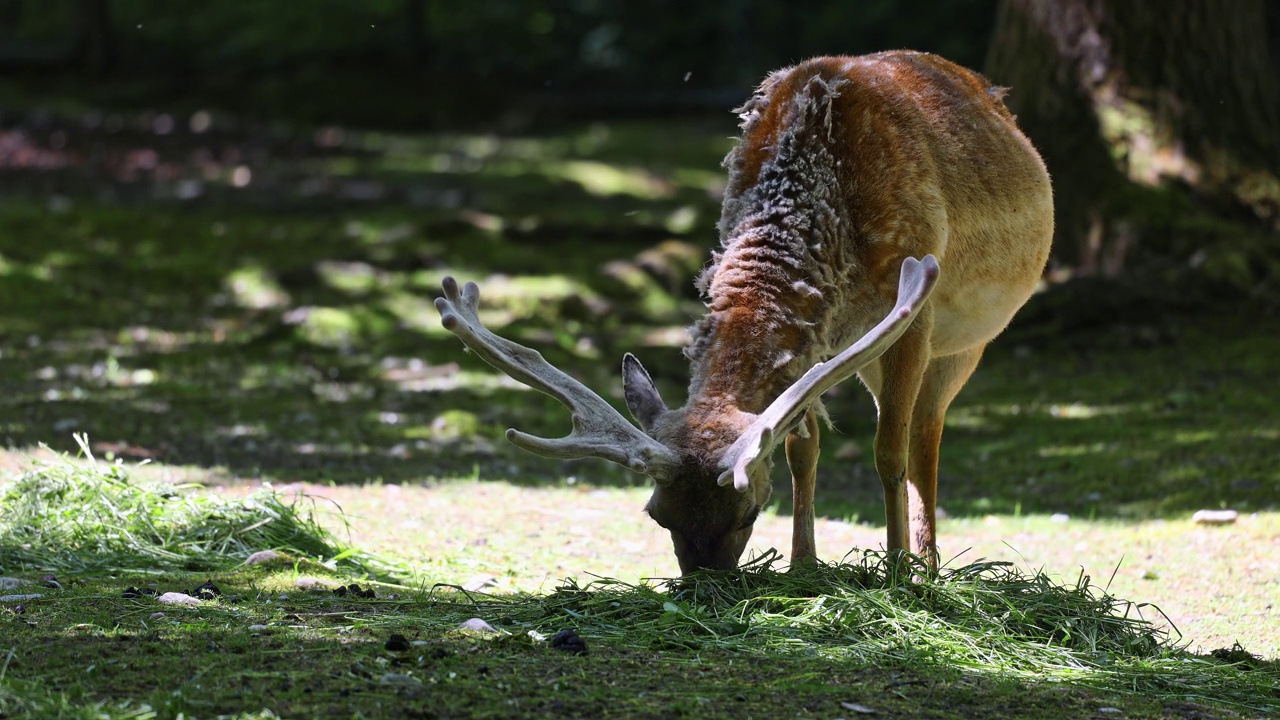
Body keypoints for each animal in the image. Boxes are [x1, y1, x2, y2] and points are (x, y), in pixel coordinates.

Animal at [435, 51, 1054, 571]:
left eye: (747, 514)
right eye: (657, 515)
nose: (703, 585)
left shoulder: (910, 316)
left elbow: (887, 453)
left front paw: (897, 574)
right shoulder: (818, 336)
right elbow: (802, 448)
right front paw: (804, 565)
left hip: (964, 342)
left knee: (925, 433)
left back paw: (926, 568)